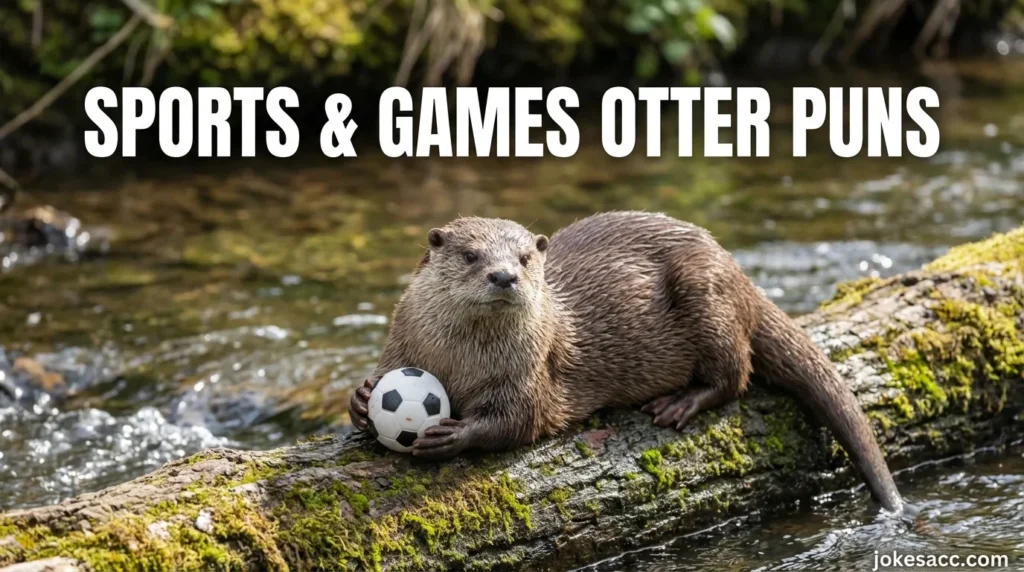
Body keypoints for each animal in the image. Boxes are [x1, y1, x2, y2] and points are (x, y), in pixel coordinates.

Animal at [349, 211, 904, 512]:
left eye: (526, 258)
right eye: (470, 256)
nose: (504, 275)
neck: (461, 361)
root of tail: (736, 271)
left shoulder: (529, 374)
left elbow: (517, 422)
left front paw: (451, 435)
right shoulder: (402, 346)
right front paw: (360, 401)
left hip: (706, 295)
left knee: (736, 373)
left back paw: (680, 404)